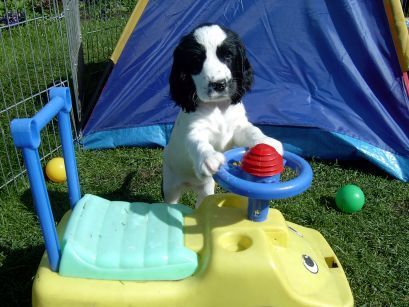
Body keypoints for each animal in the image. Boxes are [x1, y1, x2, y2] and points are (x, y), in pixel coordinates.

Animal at [161, 23, 282, 207]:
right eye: (196, 60)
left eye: (228, 56)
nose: (219, 84)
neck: (217, 107)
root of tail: (190, 183)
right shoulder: (194, 129)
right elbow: (197, 142)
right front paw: (209, 158)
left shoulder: (238, 127)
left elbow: (252, 131)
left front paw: (267, 142)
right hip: (170, 185)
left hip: (206, 188)